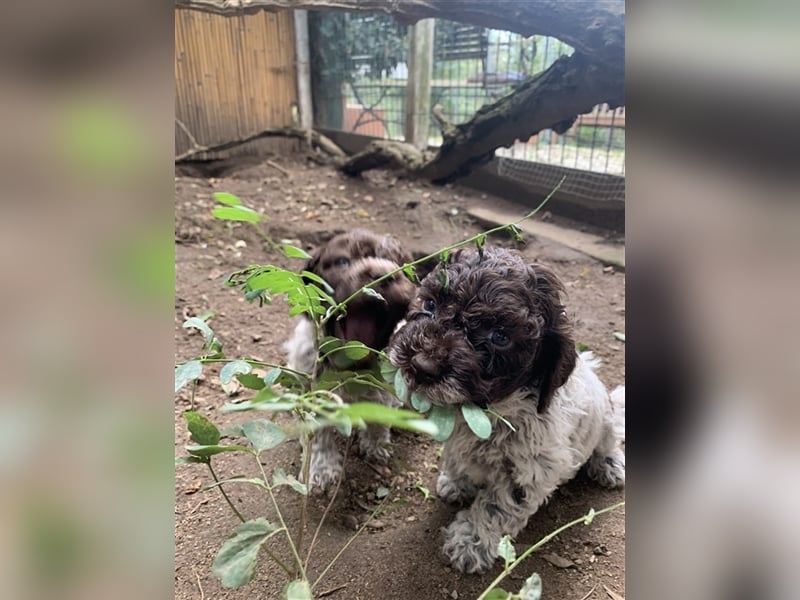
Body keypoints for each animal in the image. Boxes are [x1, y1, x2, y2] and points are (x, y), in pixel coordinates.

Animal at [286, 229, 412, 492]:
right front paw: (321, 469)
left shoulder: (384, 382)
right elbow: (318, 432)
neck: (350, 368)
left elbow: (380, 413)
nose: (382, 274)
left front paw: (376, 446)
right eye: (343, 261)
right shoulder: (313, 386)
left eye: (401, 266)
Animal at [388, 246, 624, 576]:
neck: (492, 410)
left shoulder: (530, 469)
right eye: (430, 304)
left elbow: (496, 506)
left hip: (604, 420)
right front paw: (457, 482)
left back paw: (609, 464)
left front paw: (470, 542)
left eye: (499, 337)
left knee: (609, 439)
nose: (422, 367)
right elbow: (458, 458)